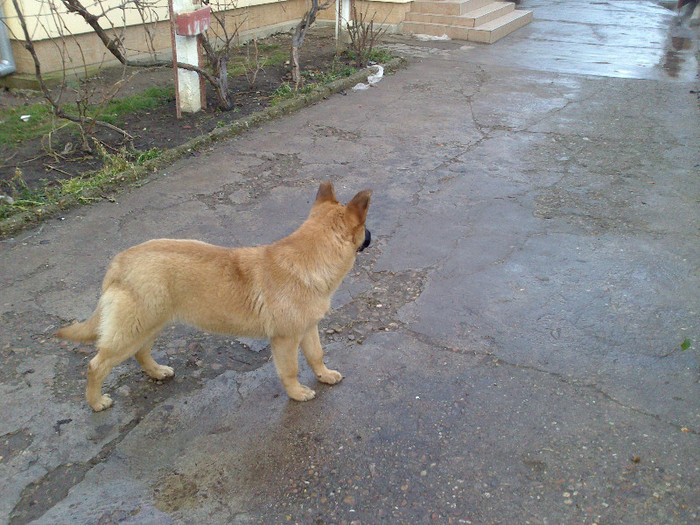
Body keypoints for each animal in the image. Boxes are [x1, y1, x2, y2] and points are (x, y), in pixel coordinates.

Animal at [56, 182, 372, 412]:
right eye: (364, 228)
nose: (371, 236)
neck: (309, 259)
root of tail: (119, 261)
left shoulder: (307, 329)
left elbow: (317, 355)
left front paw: (324, 375)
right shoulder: (285, 340)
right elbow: (291, 370)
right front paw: (296, 394)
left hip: (150, 324)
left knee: (140, 352)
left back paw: (156, 372)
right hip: (133, 329)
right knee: (96, 366)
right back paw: (96, 402)